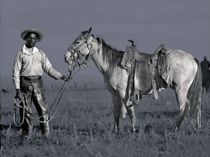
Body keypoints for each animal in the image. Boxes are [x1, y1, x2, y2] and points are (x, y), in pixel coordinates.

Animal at [64, 27, 202, 132]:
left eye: (78, 41)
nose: (66, 57)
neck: (112, 64)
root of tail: (192, 58)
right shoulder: (115, 94)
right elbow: (116, 112)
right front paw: (115, 131)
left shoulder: (124, 93)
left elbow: (130, 111)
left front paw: (133, 130)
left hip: (180, 89)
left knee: (183, 107)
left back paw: (174, 129)